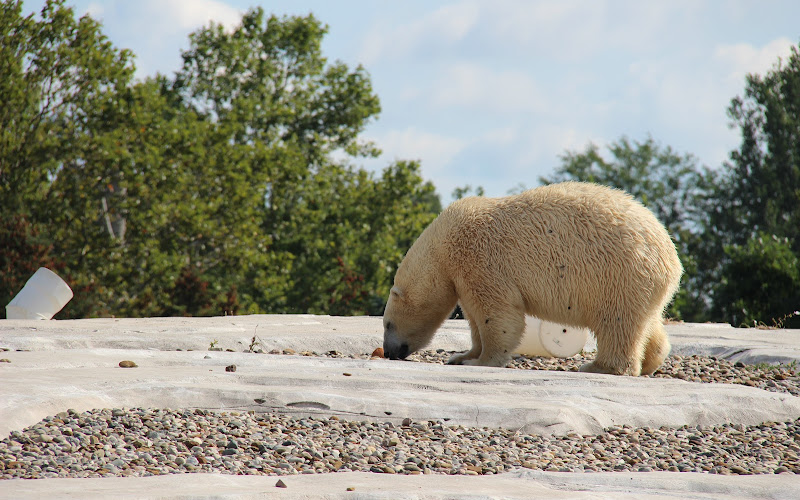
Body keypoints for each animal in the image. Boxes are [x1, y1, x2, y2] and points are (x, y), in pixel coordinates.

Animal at [382, 181, 683, 376]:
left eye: (387, 324)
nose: (387, 352)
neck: (443, 242)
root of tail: (671, 258)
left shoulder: (480, 259)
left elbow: (497, 314)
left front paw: (480, 361)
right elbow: (474, 318)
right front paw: (462, 356)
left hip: (618, 274)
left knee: (617, 323)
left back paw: (600, 367)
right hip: (641, 283)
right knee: (645, 321)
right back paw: (651, 361)